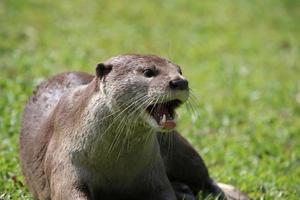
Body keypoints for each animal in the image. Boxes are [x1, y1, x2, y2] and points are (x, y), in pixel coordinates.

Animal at [19, 54, 248, 199]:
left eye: (179, 70)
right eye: (148, 72)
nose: (180, 82)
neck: (115, 164)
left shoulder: (153, 172)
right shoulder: (66, 159)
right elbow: (69, 191)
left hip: (181, 151)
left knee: (205, 178)